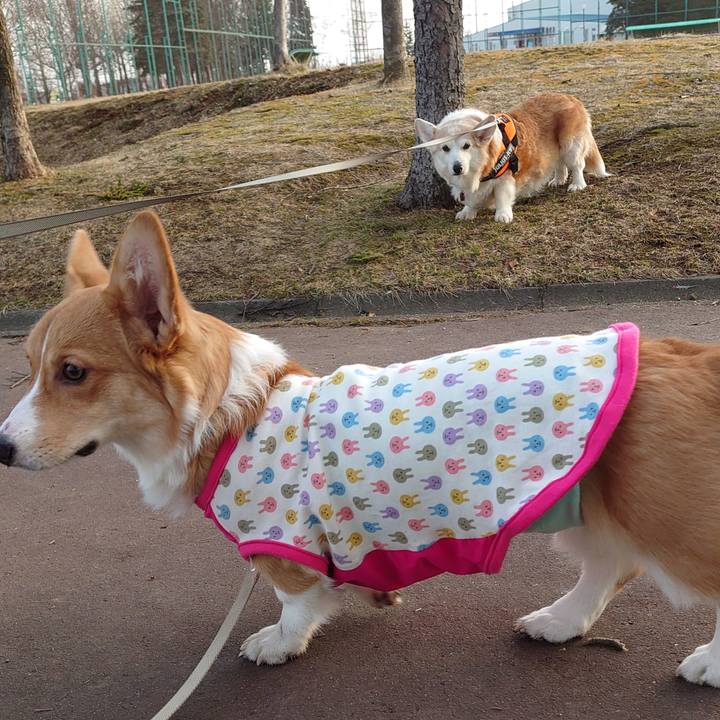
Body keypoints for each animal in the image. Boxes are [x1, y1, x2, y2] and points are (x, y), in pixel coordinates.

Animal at [2, 212, 720, 688]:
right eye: (30, 367)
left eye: (72, 372)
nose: (2, 449)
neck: (230, 416)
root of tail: (690, 356)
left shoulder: (282, 545)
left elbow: (295, 601)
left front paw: (278, 642)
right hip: (589, 503)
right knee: (610, 568)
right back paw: (560, 621)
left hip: (667, 519)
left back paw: (707, 663)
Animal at [415, 92, 609, 223]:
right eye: (445, 148)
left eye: (466, 146)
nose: (457, 167)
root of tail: (570, 97)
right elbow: (471, 200)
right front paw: (467, 212)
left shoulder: (505, 177)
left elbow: (502, 196)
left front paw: (503, 215)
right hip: (556, 148)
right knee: (560, 164)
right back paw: (558, 180)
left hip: (570, 144)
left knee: (576, 165)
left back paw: (577, 185)